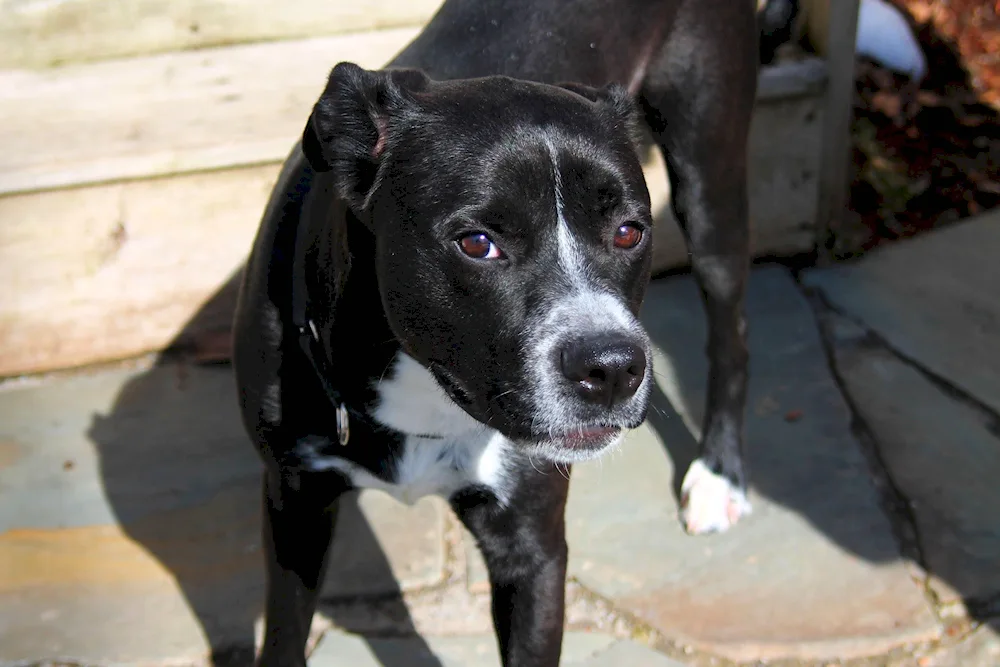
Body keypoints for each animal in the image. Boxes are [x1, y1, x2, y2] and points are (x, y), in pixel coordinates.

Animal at [230, 2, 752, 664]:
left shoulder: (531, 544)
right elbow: (283, 635)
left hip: (709, 185)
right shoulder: (294, 505)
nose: (612, 369)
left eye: (629, 231)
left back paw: (719, 475)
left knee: (732, 334)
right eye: (478, 243)